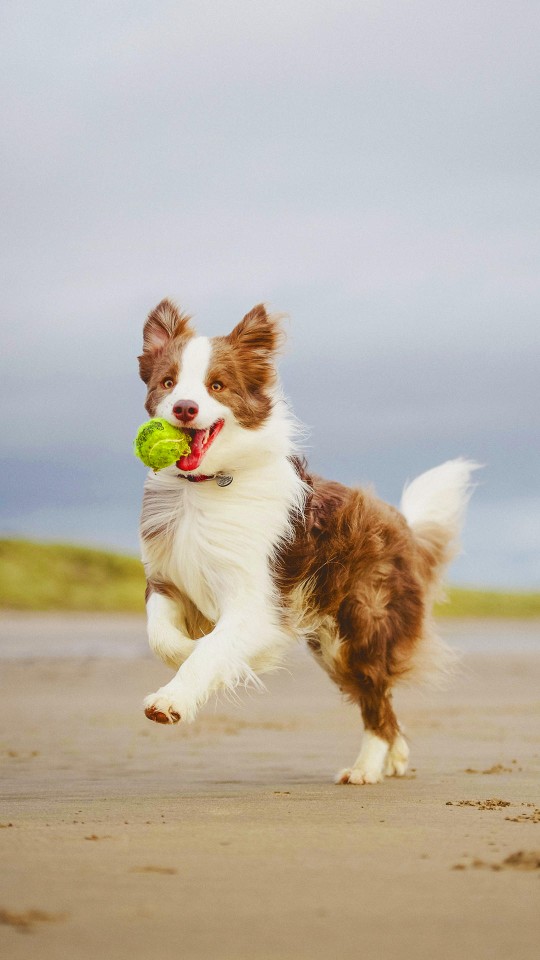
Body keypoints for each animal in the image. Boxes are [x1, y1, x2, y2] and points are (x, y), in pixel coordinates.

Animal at [136, 298, 476, 780]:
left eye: (216, 385)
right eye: (168, 382)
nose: (183, 407)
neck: (206, 485)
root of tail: (402, 523)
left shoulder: (257, 600)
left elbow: (214, 648)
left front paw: (170, 701)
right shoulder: (166, 578)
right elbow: (163, 637)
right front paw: (189, 647)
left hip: (354, 633)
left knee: (376, 700)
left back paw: (366, 768)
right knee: (384, 704)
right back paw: (394, 757)